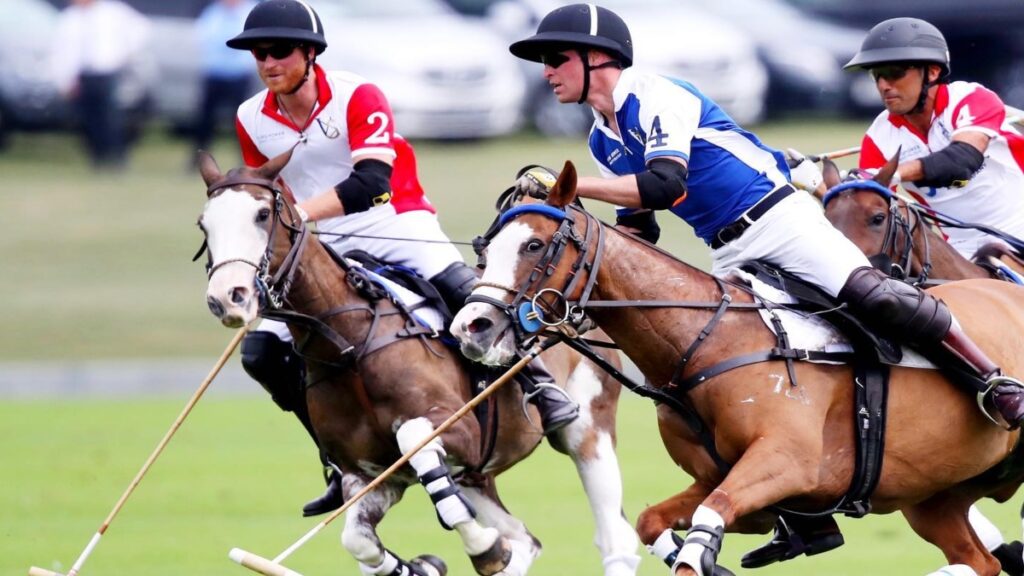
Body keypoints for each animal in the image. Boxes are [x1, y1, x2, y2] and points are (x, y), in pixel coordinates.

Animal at [195, 151, 638, 573]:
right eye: (204, 225)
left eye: (262, 214)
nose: (228, 297)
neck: (351, 345)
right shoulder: (370, 476)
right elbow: (358, 542)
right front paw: (430, 564)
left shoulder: (460, 431)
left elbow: (412, 437)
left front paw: (478, 548)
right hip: (477, 476)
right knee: (524, 540)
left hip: (588, 430)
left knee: (614, 539)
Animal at [450, 159, 1024, 573]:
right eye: (485, 249)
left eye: (534, 244)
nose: (471, 327)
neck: (704, 343)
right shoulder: (731, 484)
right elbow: (652, 523)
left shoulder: (785, 462)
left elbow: (698, 542)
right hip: (933, 497)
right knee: (978, 561)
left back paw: (1003, 394)